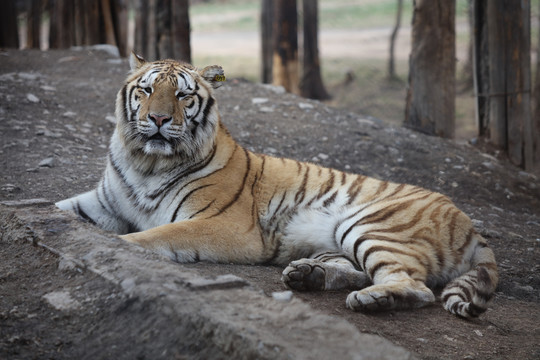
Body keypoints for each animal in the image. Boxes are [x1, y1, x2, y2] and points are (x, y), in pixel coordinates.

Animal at [54, 53, 498, 318]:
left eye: (182, 96)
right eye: (146, 89)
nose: (159, 119)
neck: (146, 162)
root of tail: (468, 222)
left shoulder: (223, 224)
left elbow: (156, 235)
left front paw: (120, 246)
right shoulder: (103, 204)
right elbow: (58, 207)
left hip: (371, 226)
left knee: (415, 287)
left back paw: (372, 299)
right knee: (355, 270)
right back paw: (307, 275)